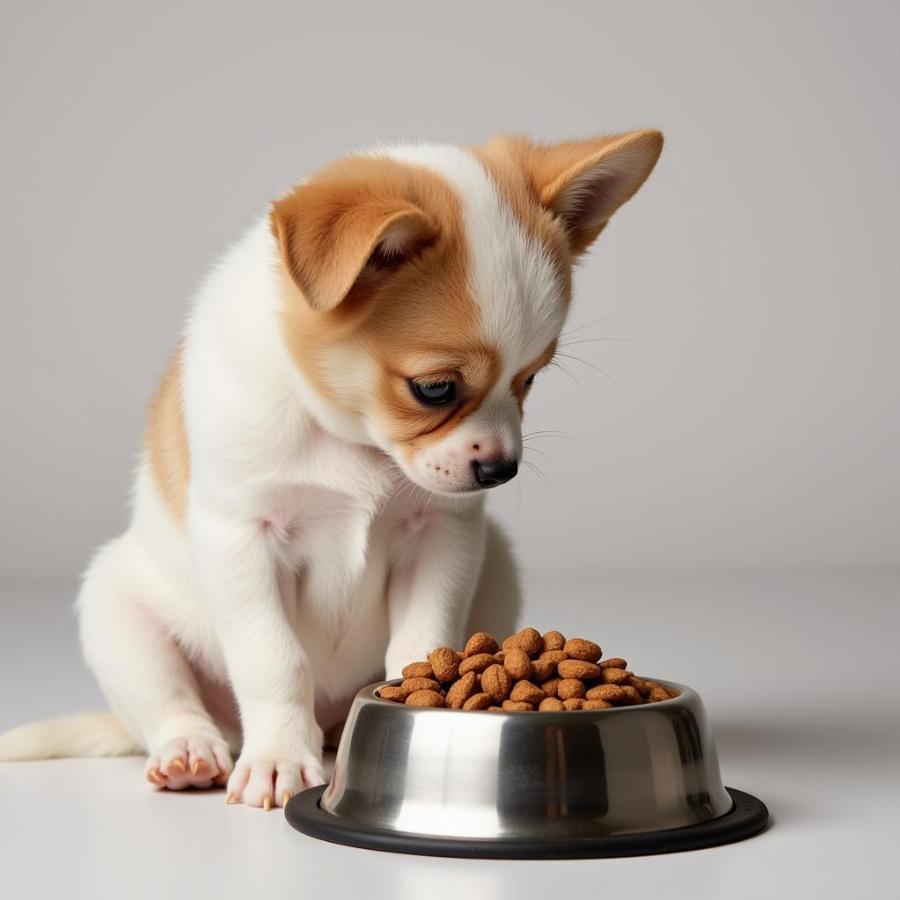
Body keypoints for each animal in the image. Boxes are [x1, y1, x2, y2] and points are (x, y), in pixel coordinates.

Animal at [0, 132, 660, 808]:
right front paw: (277, 759)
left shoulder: (442, 538)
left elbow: (421, 643)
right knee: (171, 705)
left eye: (530, 380)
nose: (501, 469)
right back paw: (191, 752)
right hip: (116, 609)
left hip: (496, 562)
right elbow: (275, 661)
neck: (352, 439)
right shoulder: (243, 540)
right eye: (434, 389)